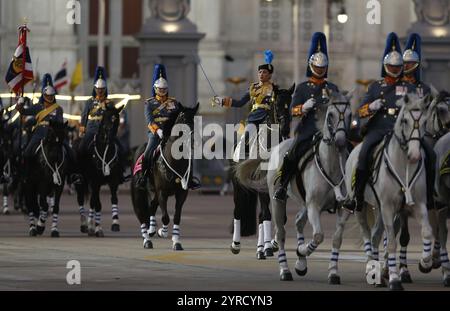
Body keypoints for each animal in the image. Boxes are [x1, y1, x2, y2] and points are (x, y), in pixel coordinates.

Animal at [344, 94, 432, 292]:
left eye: (424, 121)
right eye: (405, 120)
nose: (415, 155)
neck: (403, 165)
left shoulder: (418, 206)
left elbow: (427, 232)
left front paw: (425, 263)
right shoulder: (387, 207)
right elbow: (391, 242)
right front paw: (394, 280)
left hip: (385, 211)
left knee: (376, 235)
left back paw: (378, 272)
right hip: (363, 207)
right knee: (368, 234)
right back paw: (371, 268)